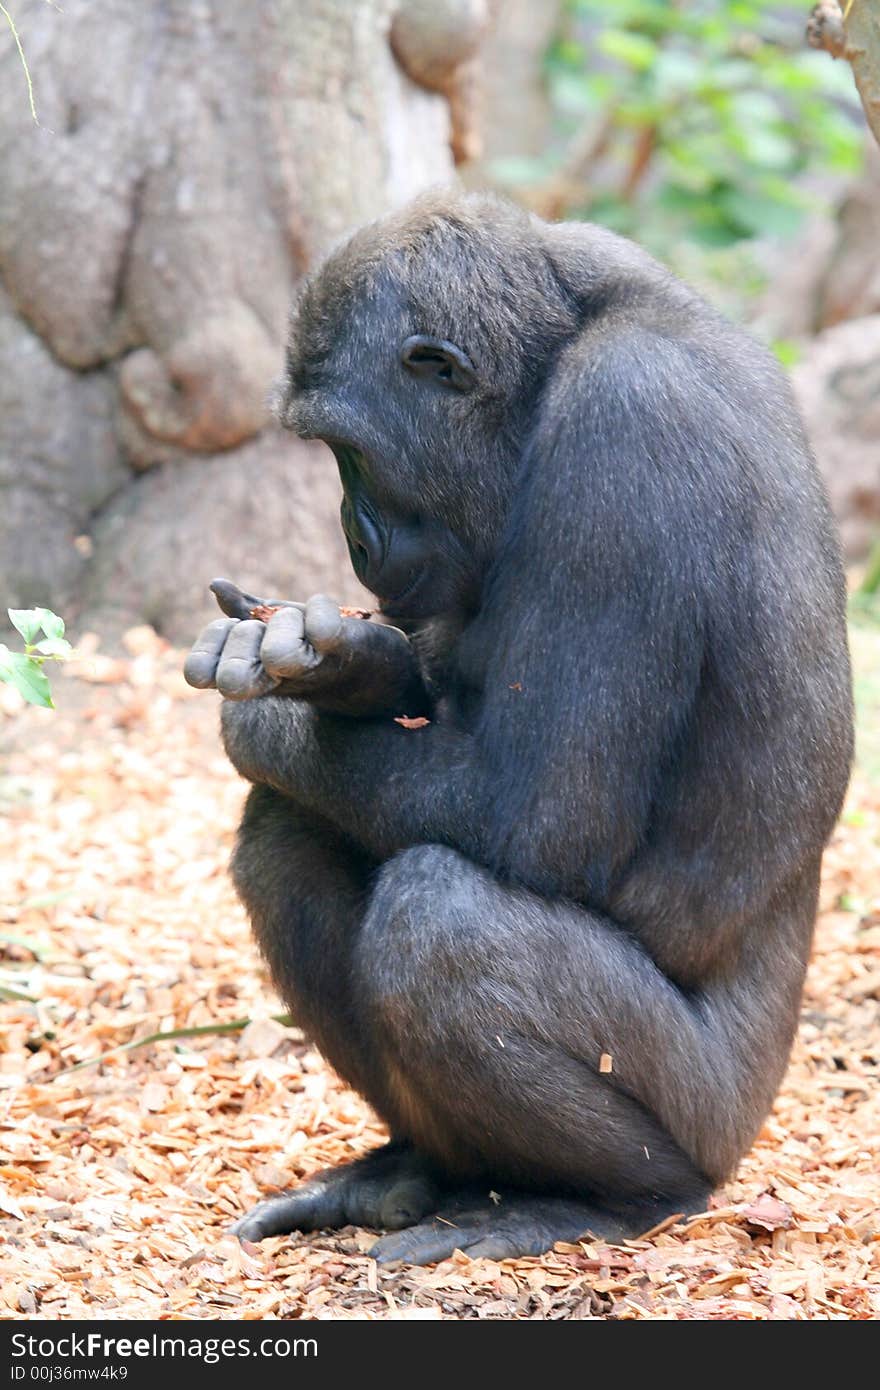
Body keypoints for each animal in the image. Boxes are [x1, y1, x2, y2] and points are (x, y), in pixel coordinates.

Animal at [184, 190, 850, 1267]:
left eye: (350, 452)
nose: (350, 532)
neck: (549, 364)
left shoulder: (624, 430)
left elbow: (539, 817)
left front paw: (275, 722)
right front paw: (347, 663)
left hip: (717, 1117)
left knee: (440, 922)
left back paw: (613, 1197)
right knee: (287, 833)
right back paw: (424, 1170)